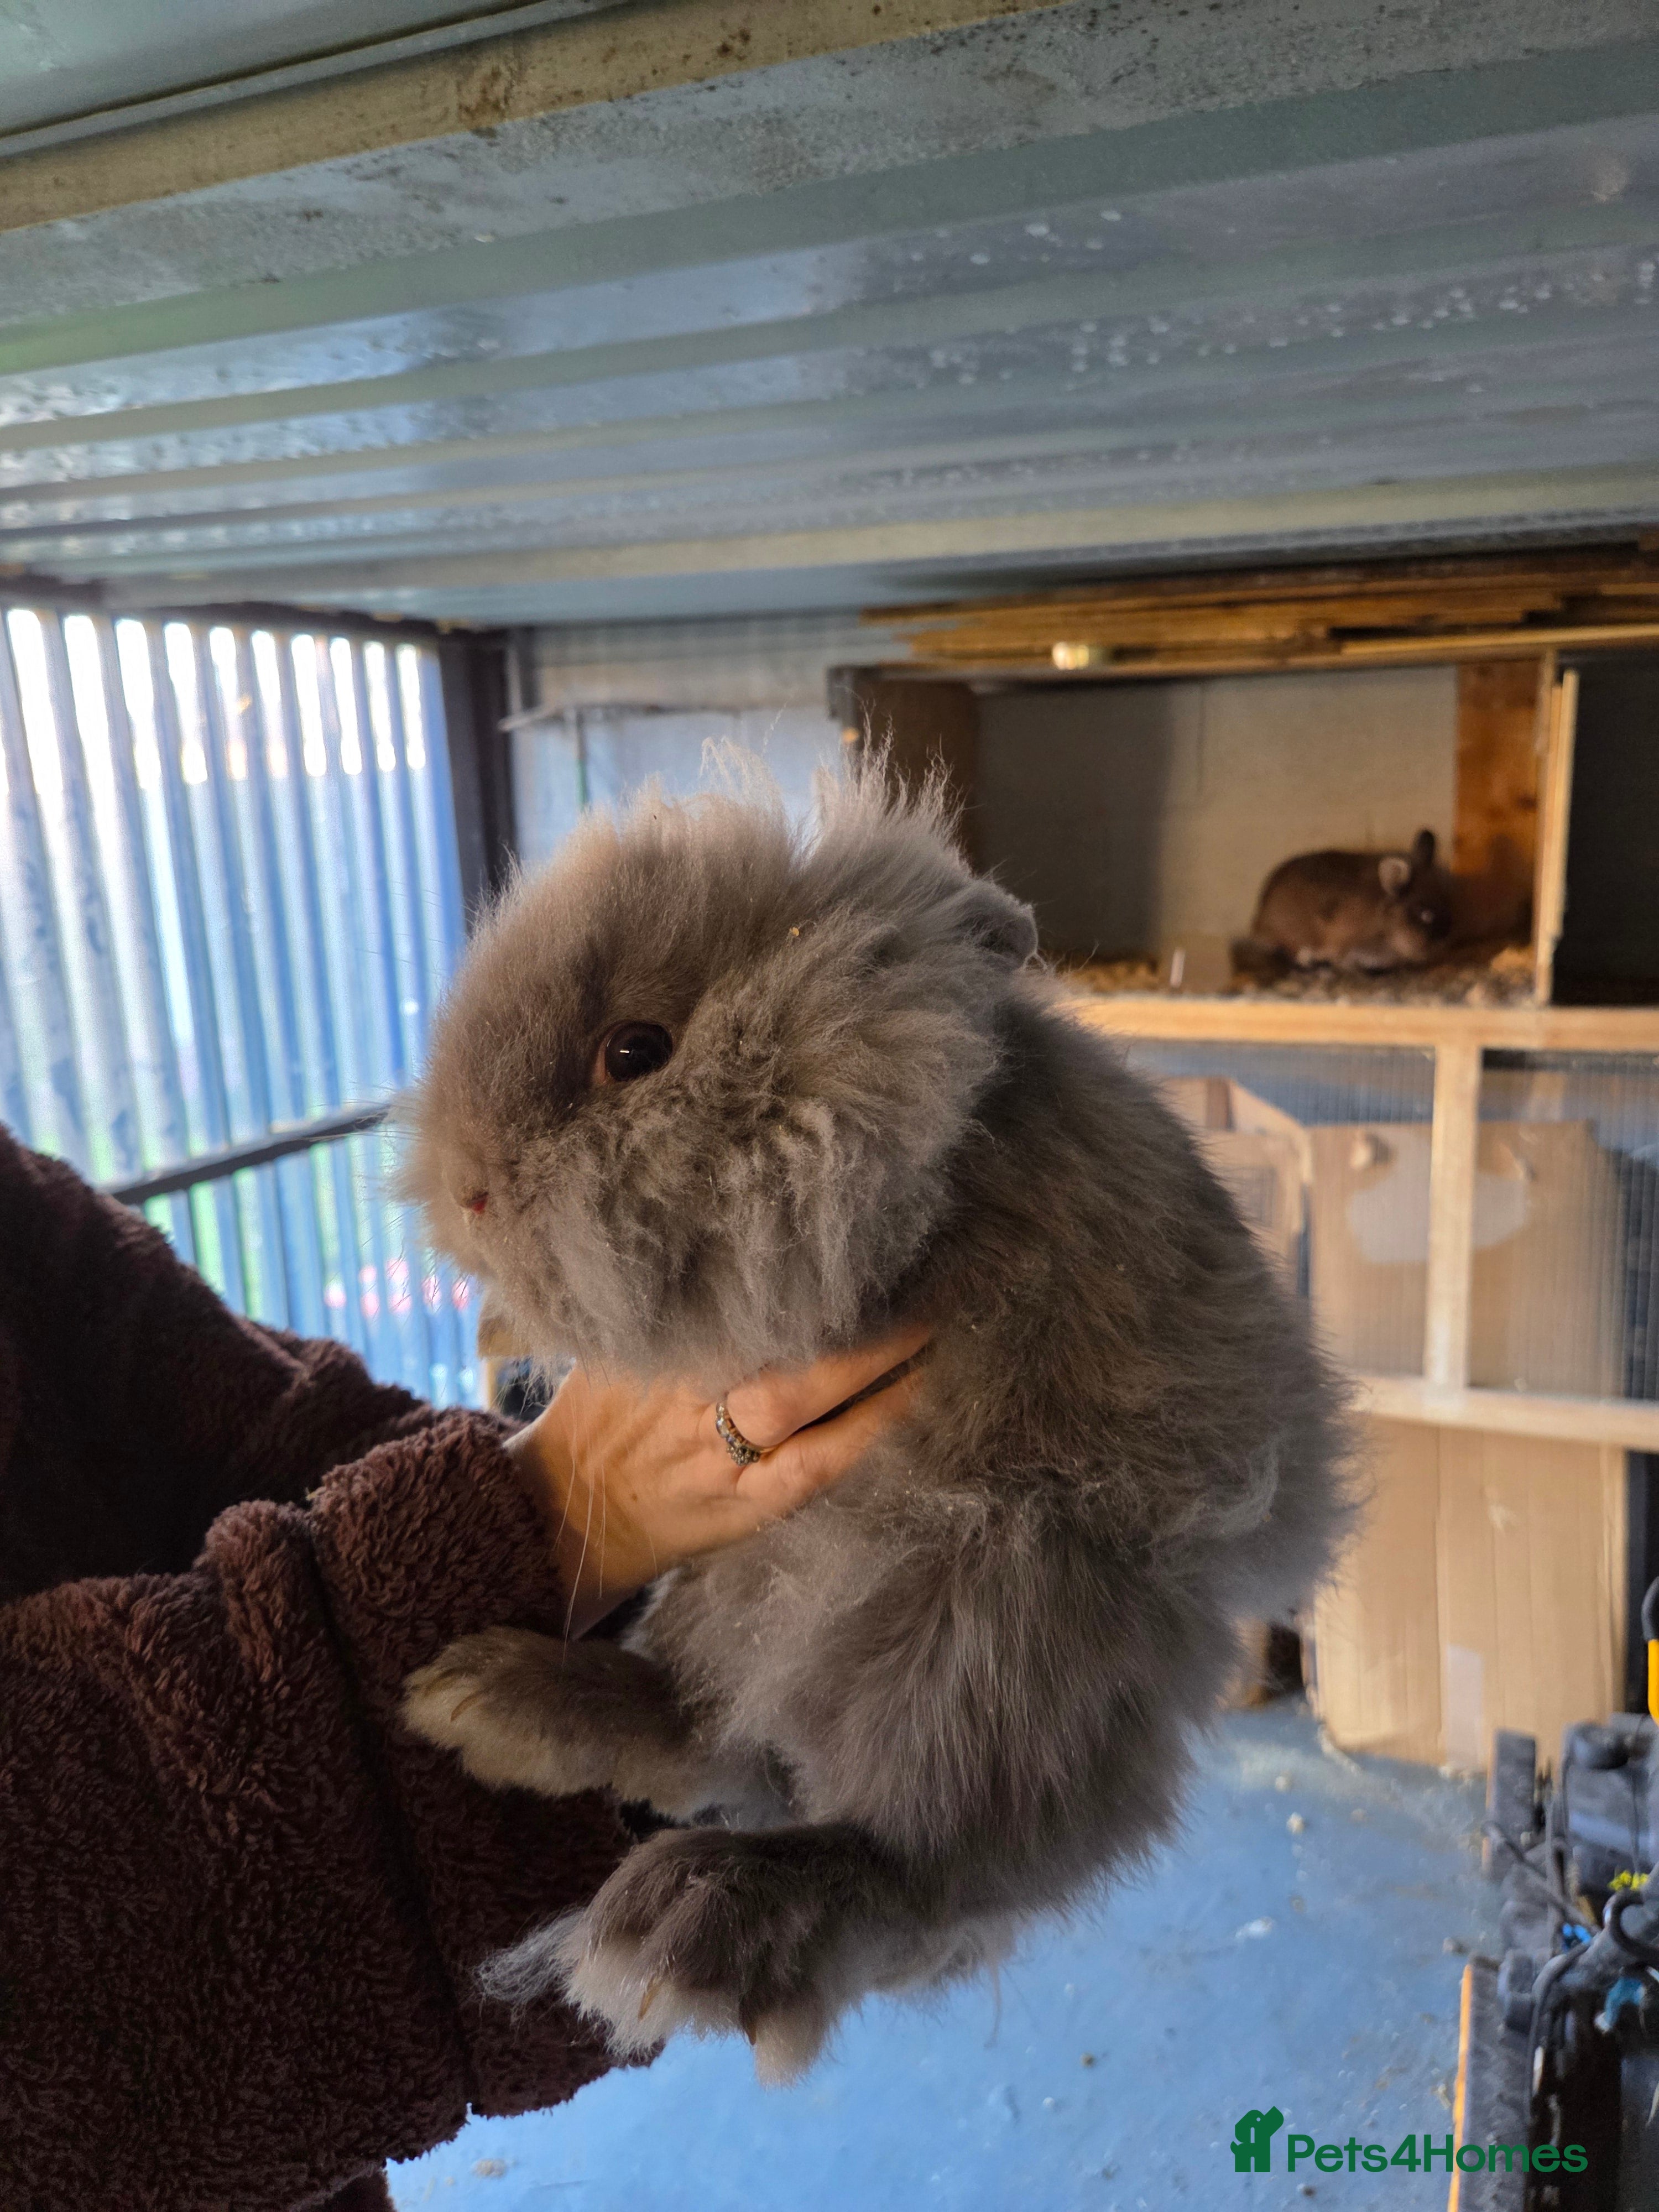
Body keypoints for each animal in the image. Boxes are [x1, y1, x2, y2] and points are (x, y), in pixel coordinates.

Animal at [399, 764, 1353, 2083]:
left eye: (634, 1051)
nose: (469, 1193)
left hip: (994, 1607)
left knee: (915, 1855)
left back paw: (691, 1923)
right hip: (757, 1582)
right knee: (715, 1725)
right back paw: (498, 1701)